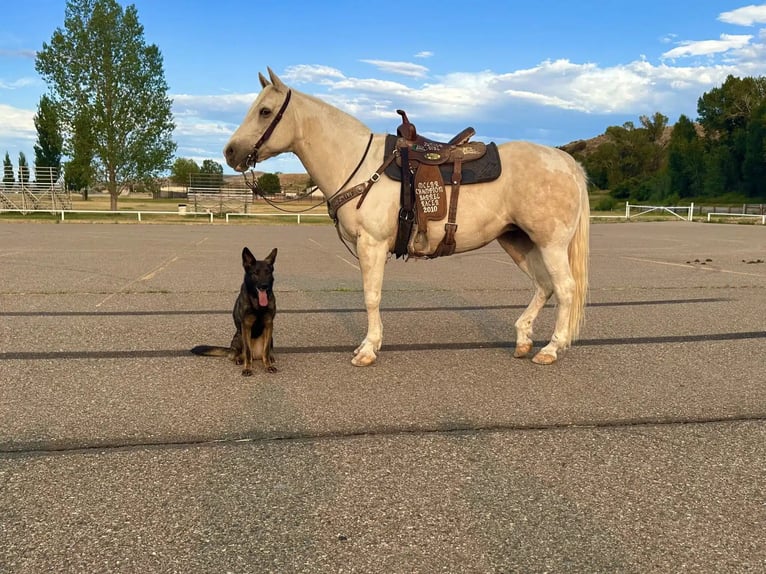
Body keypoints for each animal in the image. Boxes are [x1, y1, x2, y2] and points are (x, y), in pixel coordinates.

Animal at [224, 68, 589, 366]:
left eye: (265, 111)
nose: (230, 152)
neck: (358, 163)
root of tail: (567, 162)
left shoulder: (372, 245)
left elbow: (371, 297)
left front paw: (368, 349)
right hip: (517, 241)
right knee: (544, 286)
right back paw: (524, 339)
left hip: (551, 244)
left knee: (565, 288)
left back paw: (551, 349)